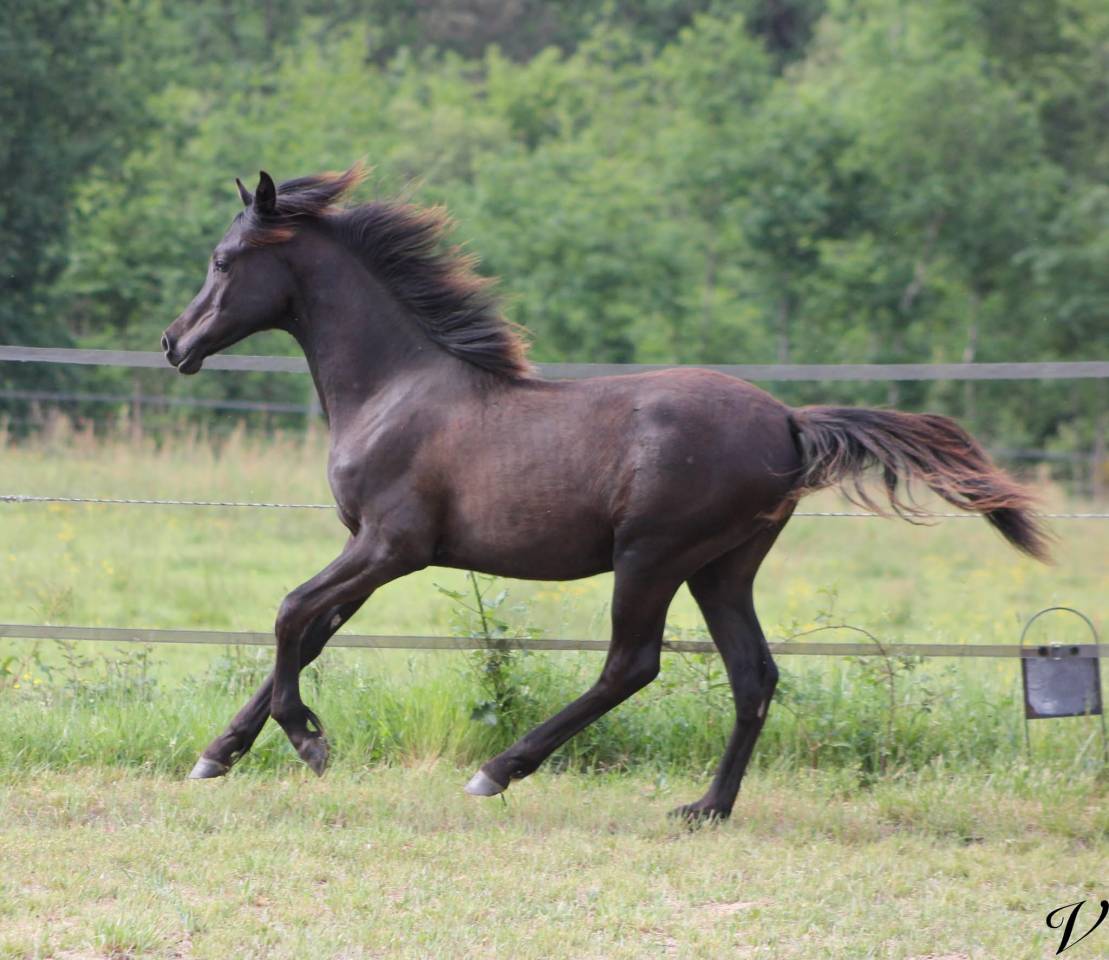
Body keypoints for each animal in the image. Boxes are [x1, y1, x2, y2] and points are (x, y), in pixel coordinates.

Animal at [162, 166, 1049, 821]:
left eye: (222, 260)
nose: (173, 343)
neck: (394, 389)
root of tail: (790, 422)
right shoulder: (369, 550)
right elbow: (308, 634)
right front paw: (217, 755)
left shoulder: (390, 545)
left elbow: (288, 614)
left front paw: (308, 741)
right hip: (721, 567)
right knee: (753, 675)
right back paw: (705, 808)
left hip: (651, 556)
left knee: (631, 664)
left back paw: (498, 770)